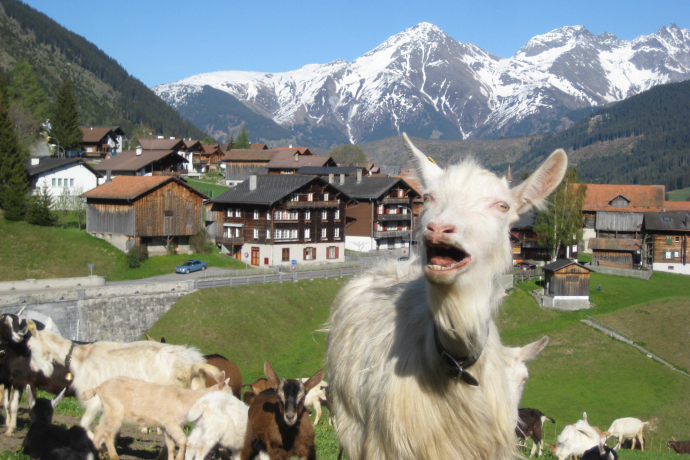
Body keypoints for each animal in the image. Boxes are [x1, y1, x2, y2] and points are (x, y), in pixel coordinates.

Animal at [25, 319, 220, 434]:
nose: (32, 367)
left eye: (29, 345)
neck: (81, 357)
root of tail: (191, 363)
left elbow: (84, 424)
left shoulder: (94, 398)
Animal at [84, 372, 228, 460]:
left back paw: (96, 454)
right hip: (115, 411)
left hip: (107, 411)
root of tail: (99, 387)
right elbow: (182, 440)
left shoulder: (166, 426)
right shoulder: (171, 422)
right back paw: (114, 457)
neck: (185, 400)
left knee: (98, 429)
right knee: (108, 433)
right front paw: (179, 458)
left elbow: (171, 446)